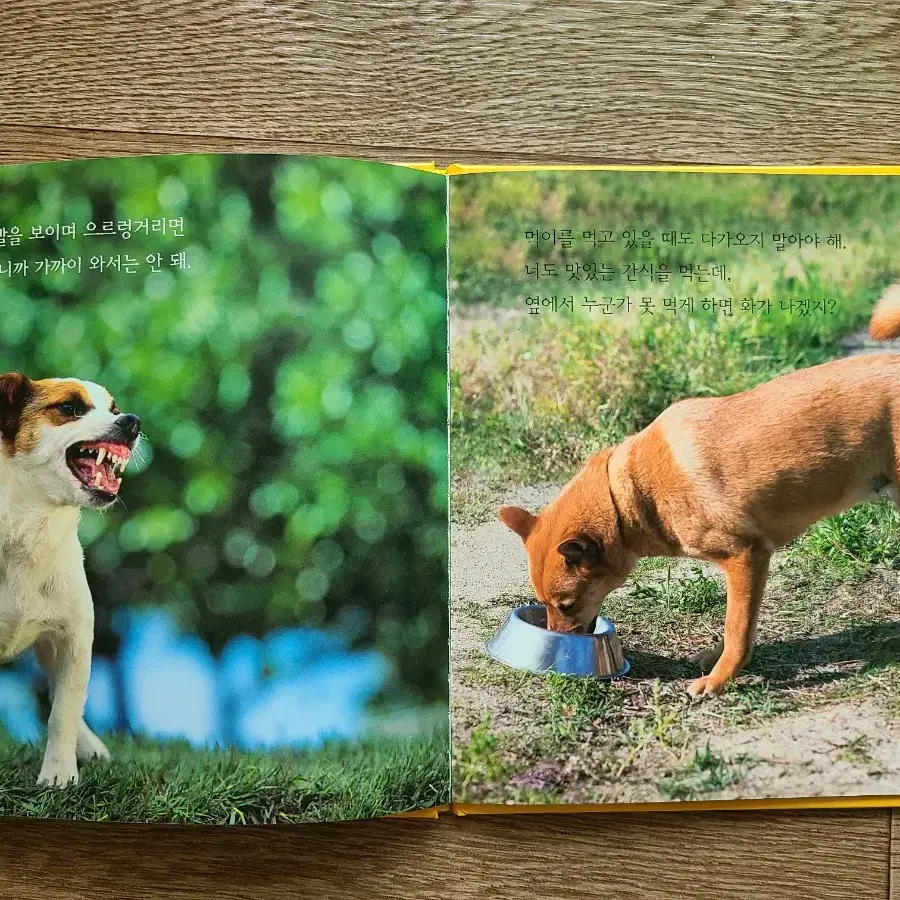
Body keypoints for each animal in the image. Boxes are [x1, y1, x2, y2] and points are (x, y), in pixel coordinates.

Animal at [0, 372, 140, 788]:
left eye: (113, 408)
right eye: (69, 407)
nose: (132, 422)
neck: (30, 530)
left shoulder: (74, 637)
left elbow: (63, 710)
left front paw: (60, 775)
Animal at [500, 284, 900, 700]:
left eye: (566, 604)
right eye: (545, 604)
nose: (558, 644)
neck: (629, 493)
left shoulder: (746, 556)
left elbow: (736, 630)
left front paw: (720, 678)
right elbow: (739, 627)